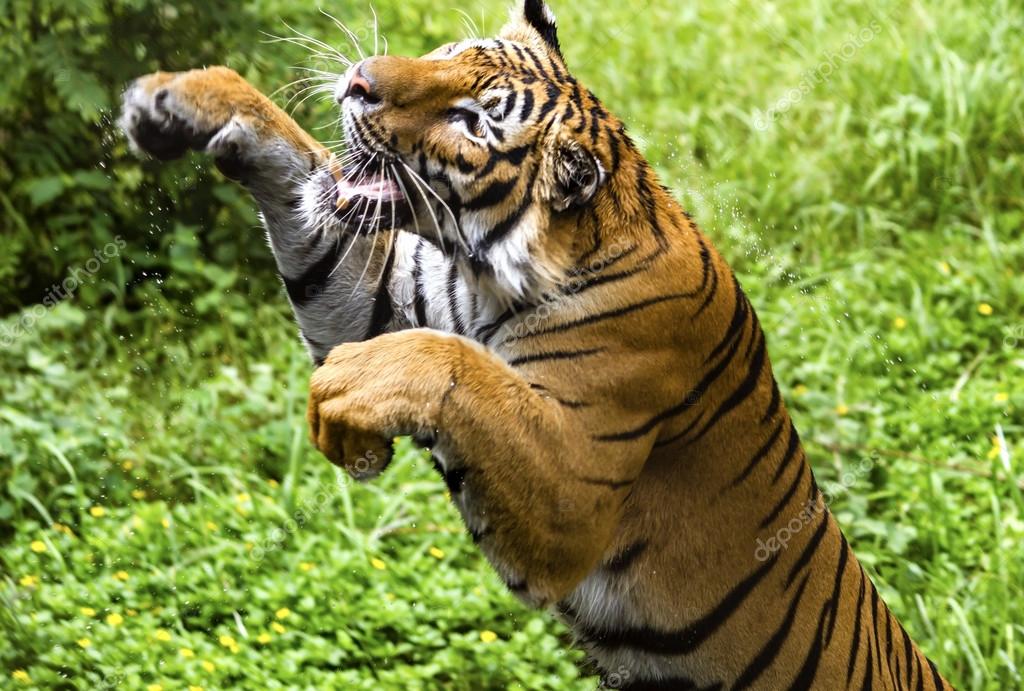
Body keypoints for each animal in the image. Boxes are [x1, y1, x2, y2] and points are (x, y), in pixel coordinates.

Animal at [118, 1, 954, 688]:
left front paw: (344, 402)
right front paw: (180, 99)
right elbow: (299, 169)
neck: (490, 273)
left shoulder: (576, 494)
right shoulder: (384, 295)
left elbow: (455, 366)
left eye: (470, 120)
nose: (357, 81)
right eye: (446, 51)